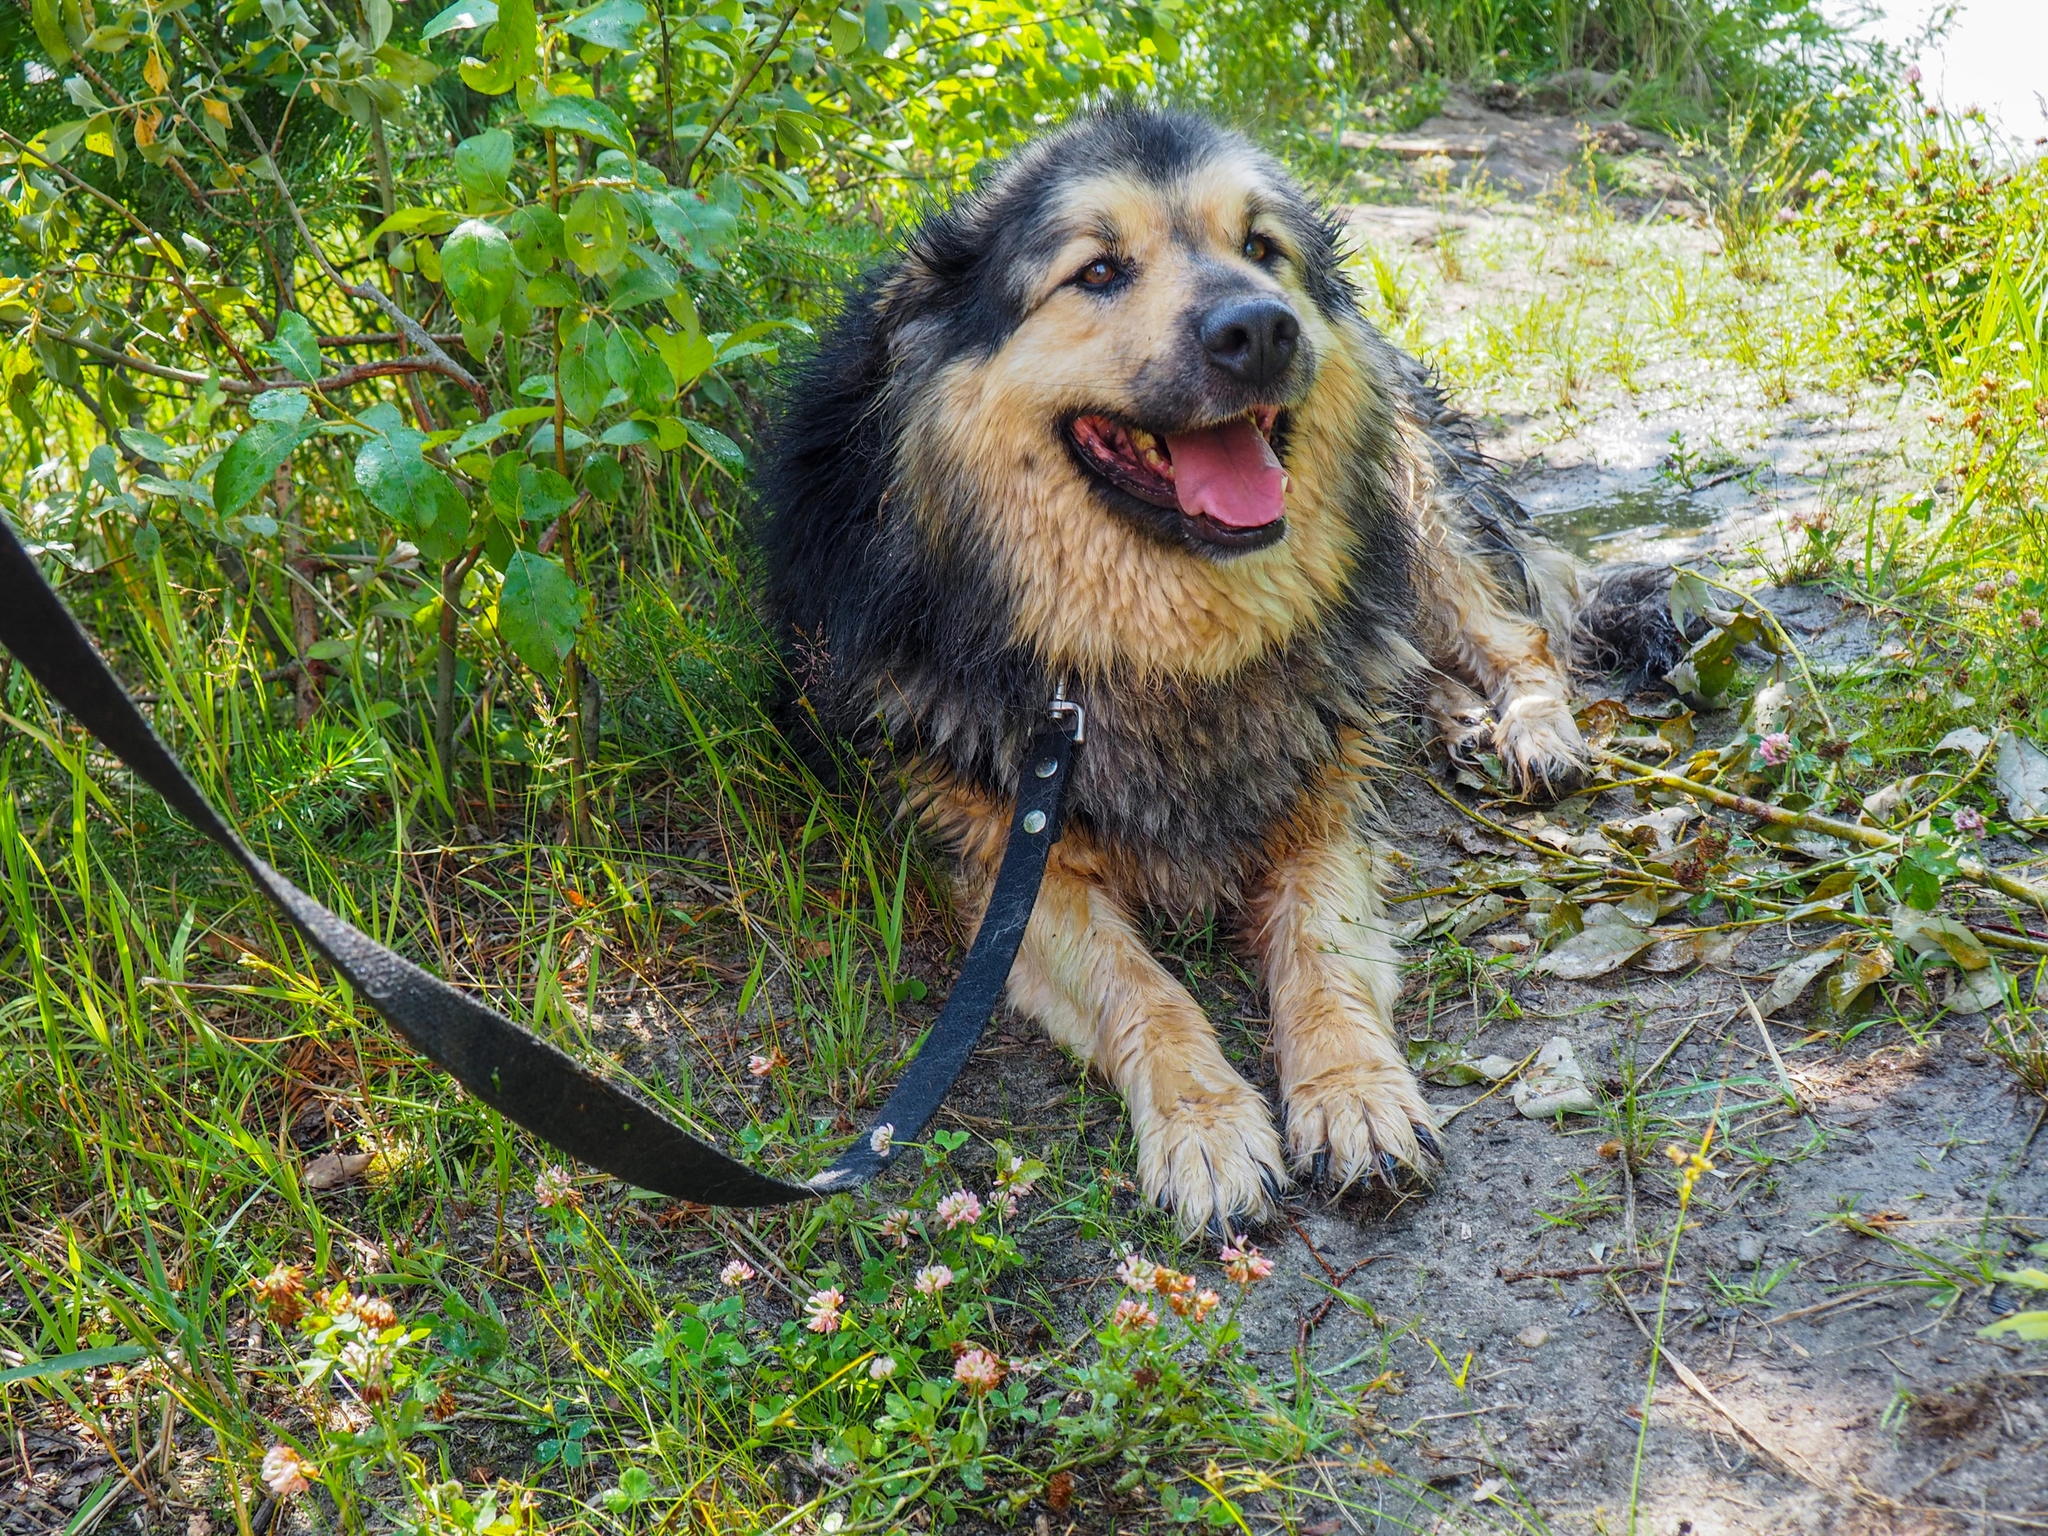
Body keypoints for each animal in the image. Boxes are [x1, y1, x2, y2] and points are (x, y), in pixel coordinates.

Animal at [761, 105, 1671, 1236]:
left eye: (1262, 249)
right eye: (1099, 271)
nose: (1263, 329)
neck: (1154, 644)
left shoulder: (1316, 820)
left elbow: (1320, 955)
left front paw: (1354, 1098)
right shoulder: (1008, 861)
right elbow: (1145, 989)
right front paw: (1208, 1128)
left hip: (1413, 504)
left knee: (1509, 637)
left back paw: (1529, 731)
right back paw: (1456, 721)